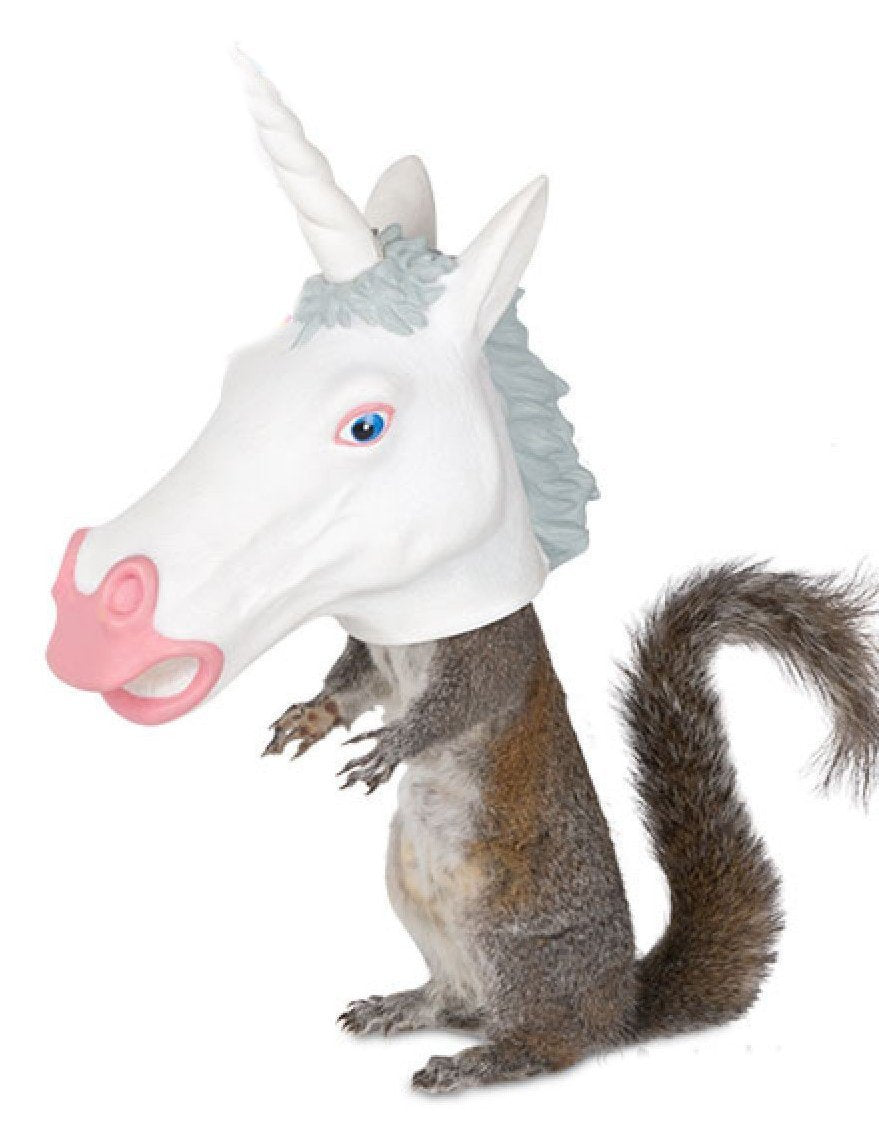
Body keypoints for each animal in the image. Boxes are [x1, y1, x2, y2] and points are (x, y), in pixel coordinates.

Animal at [264, 562, 878, 1093]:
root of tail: (617, 1009)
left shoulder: (488, 648)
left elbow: (454, 703)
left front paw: (393, 745)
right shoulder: (374, 652)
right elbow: (355, 681)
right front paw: (311, 716)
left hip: (516, 946)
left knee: (553, 1045)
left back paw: (480, 1063)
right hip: (420, 903)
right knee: (460, 1001)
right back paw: (402, 1007)